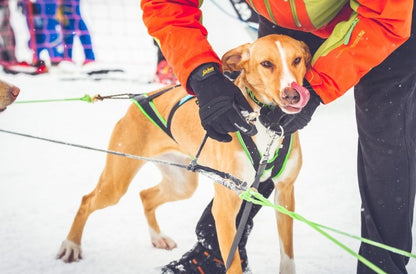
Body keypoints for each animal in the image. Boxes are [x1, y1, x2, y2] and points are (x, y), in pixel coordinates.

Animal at [57, 34, 312, 274]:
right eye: (266, 63)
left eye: (296, 60)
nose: (292, 94)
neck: (266, 123)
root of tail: (141, 98)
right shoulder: (226, 204)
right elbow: (233, 264)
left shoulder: (285, 193)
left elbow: (287, 253)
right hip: (116, 182)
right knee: (87, 200)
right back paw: (71, 245)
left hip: (181, 184)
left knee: (146, 195)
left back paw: (157, 237)